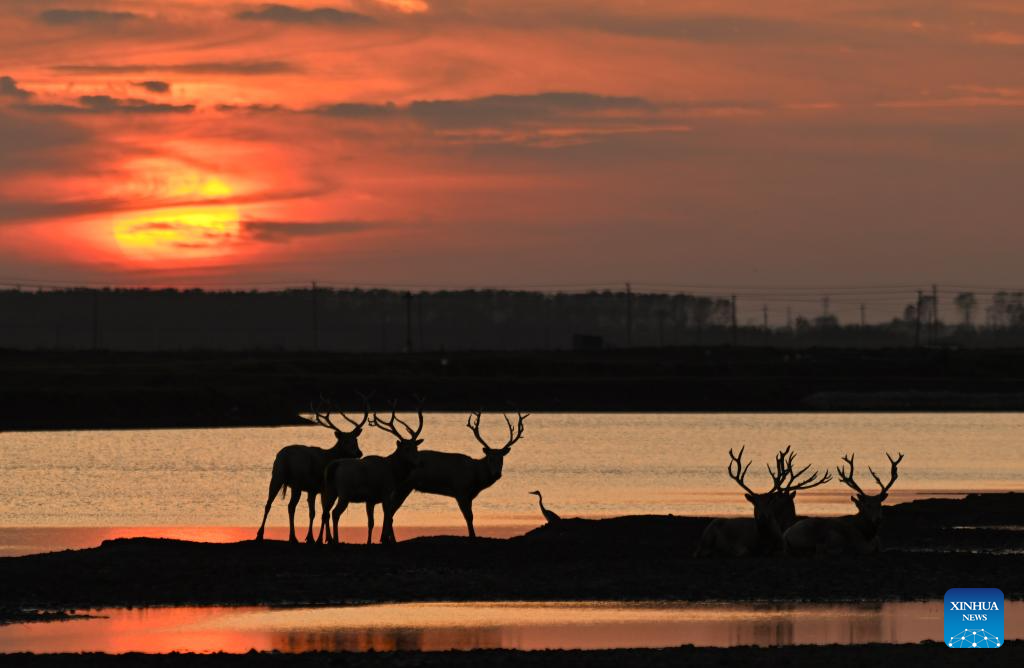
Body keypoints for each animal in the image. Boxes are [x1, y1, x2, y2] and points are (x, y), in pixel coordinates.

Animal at [256, 397, 368, 540]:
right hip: (294, 481)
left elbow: (315, 513)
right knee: (289, 506)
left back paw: (263, 534)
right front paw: (320, 538)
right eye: (345, 441)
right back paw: (290, 536)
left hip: (278, 475)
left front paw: (316, 537)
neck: (330, 456)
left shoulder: (313, 489)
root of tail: (284, 457)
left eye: (356, 440)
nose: (359, 453)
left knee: (269, 504)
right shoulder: (321, 488)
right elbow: (322, 513)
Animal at [313, 399, 421, 545]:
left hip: (330, 490)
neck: (393, 472)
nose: (417, 463)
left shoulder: (370, 500)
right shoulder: (386, 493)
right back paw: (336, 540)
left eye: (416, 448)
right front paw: (386, 540)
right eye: (406, 449)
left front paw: (370, 541)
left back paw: (325, 539)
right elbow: (388, 517)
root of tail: (334, 466)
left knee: (325, 513)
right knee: (335, 513)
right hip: (345, 492)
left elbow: (371, 522)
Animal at [382, 407, 532, 540]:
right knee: (390, 511)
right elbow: (468, 516)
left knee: (390, 511)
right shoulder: (460, 490)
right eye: (490, 458)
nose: (497, 474)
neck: (475, 476)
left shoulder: (470, 495)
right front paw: (473, 536)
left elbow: (471, 516)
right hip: (403, 486)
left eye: (501, 459)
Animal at [692, 448, 835, 557]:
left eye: (769, 501)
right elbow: (742, 551)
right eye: (754, 503)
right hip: (707, 536)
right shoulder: (740, 544)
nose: (763, 516)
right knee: (699, 552)